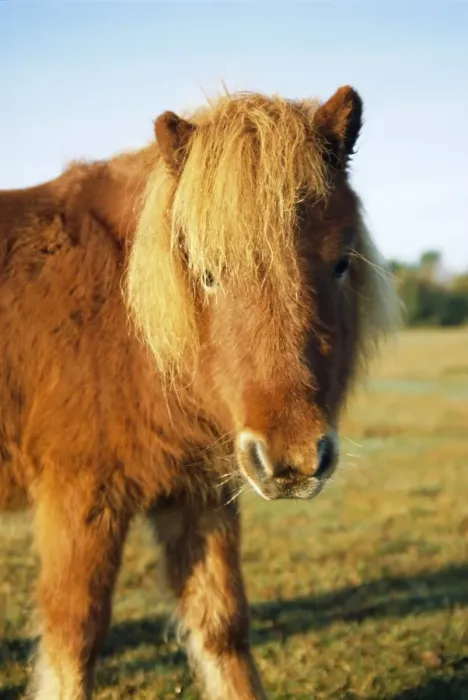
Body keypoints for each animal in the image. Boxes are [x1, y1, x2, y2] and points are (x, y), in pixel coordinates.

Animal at [0, 85, 398, 699]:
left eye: (340, 263)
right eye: (208, 274)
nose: (293, 460)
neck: (124, 325)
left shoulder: (200, 494)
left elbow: (222, 629)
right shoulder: (79, 499)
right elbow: (75, 640)